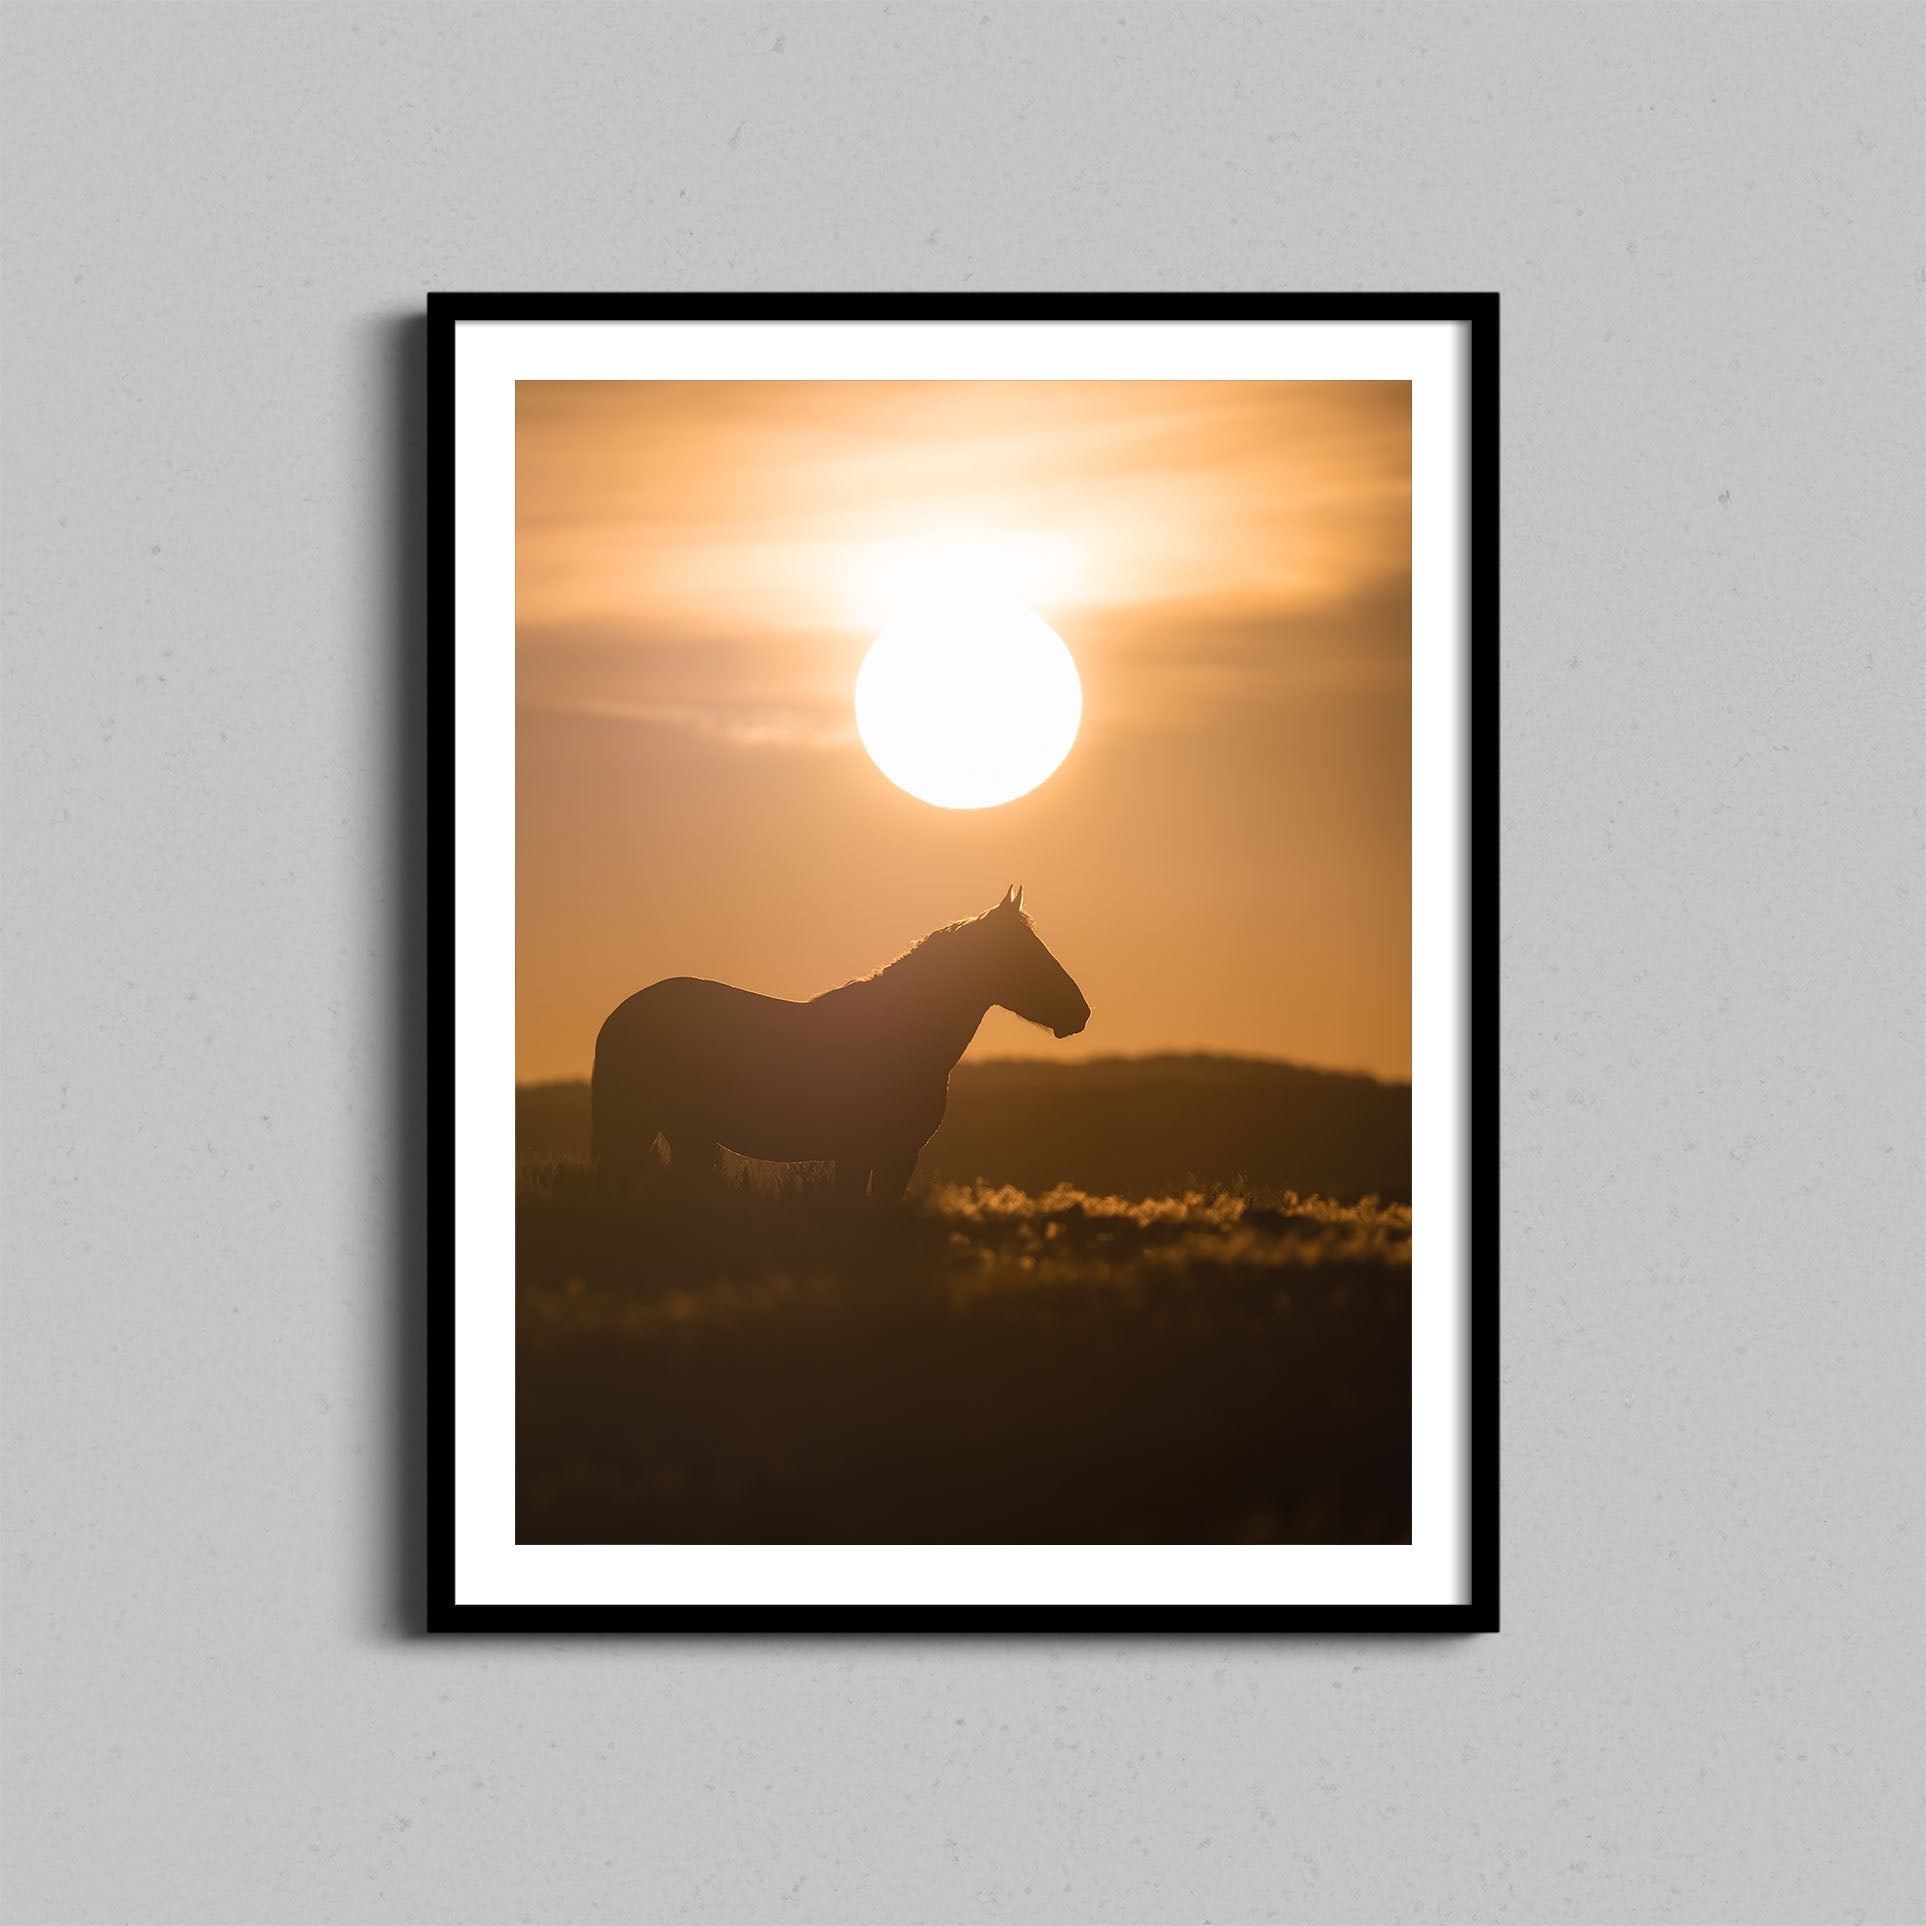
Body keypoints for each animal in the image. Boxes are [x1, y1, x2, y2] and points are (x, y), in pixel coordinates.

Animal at [590, 886, 1090, 1203]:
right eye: (1025, 953)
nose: (1081, 1013)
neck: (905, 1036)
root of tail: (620, 1015)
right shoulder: (870, 1154)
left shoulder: (887, 1155)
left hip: (684, 1133)